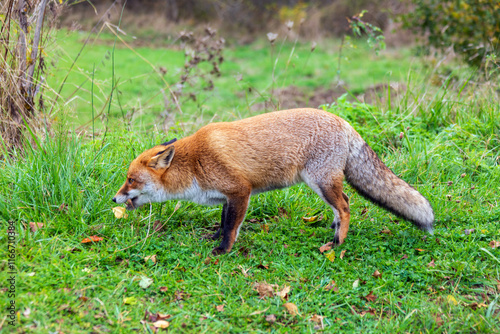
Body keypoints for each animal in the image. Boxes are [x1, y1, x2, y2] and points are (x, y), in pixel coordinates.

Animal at [113, 108, 434, 254]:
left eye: (130, 180)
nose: (113, 199)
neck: (194, 164)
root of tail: (342, 121)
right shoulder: (228, 196)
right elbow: (223, 221)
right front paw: (215, 238)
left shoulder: (240, 190)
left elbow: (231, 227)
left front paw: (222, 250)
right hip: (323, 184)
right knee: (343, 205)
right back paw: (334, 231)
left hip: (321, 182)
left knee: (345, 206)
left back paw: (336, 243)